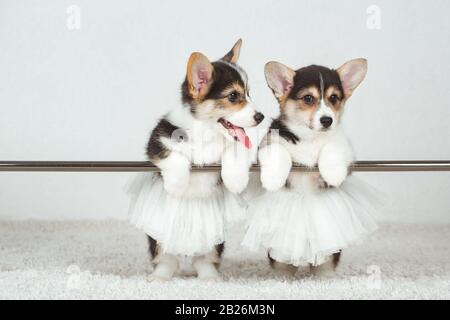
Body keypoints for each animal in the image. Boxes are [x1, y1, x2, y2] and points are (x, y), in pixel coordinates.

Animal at [128, 38, 264, 282]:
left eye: (249, 93)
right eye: (233, 96)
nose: (261, 117)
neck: (206, 131)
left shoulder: (239, 147)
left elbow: (235, 150)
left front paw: (235, 180)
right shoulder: (157, 141)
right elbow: (173, 154)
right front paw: (176, 184)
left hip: (213, 241)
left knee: (204, 260)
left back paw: (209, 278)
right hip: (159, 238)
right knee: (167, 260)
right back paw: (160, 277)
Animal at [241, 58, 382, 278]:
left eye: (334, 98)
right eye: (308, 98)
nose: (327, 120)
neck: (310, 138)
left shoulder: (343, 145)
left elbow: (333, 146)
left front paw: (333, 175)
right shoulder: (269, 142)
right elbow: (278, 152)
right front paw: (273, 178)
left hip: (329, 247)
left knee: (325, 263)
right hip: (280, 252)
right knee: (283, 264)